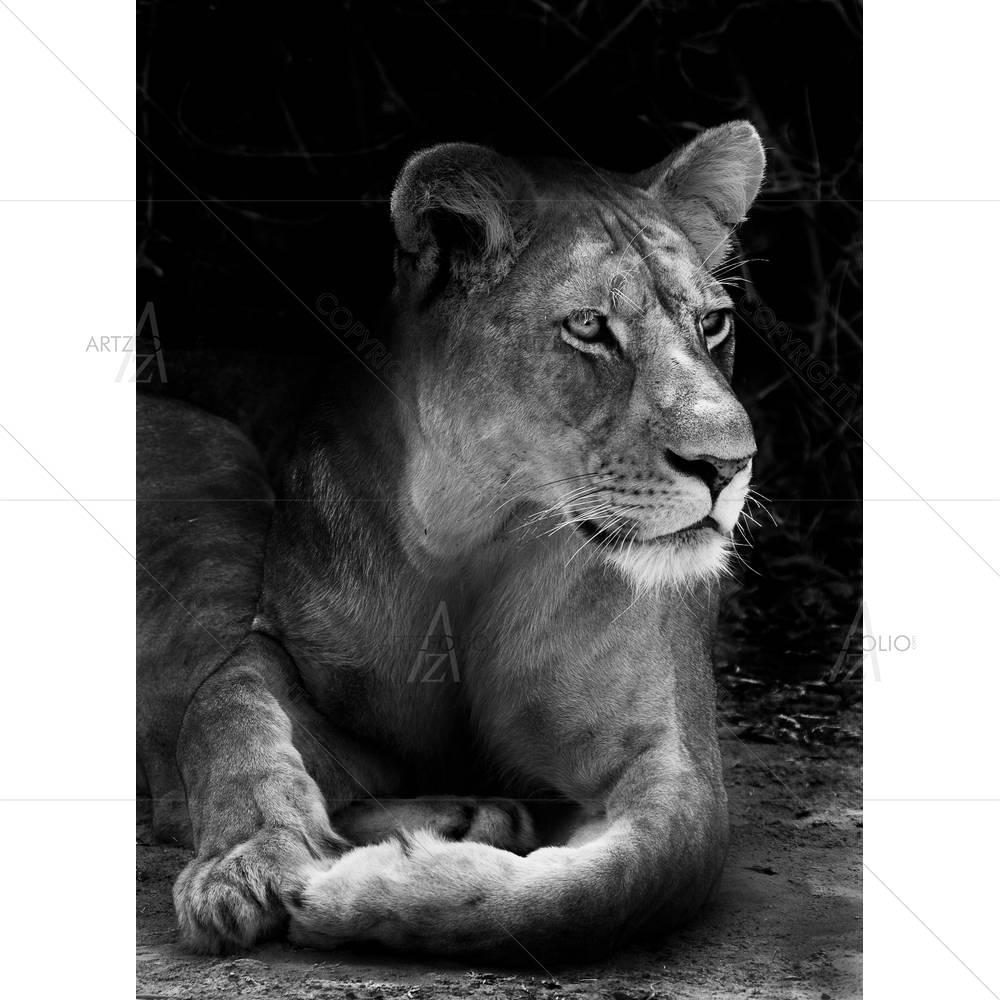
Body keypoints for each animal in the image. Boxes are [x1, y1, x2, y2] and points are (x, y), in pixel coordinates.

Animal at [137, 120, 765, 961]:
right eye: (590, 326)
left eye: (713, 323)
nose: (728, 465)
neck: (479, 536)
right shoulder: (281, 652)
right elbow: (226, 710)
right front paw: (248, 859)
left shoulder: (675, 764)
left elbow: (603, 891)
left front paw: (357, 891)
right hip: (213, 471)